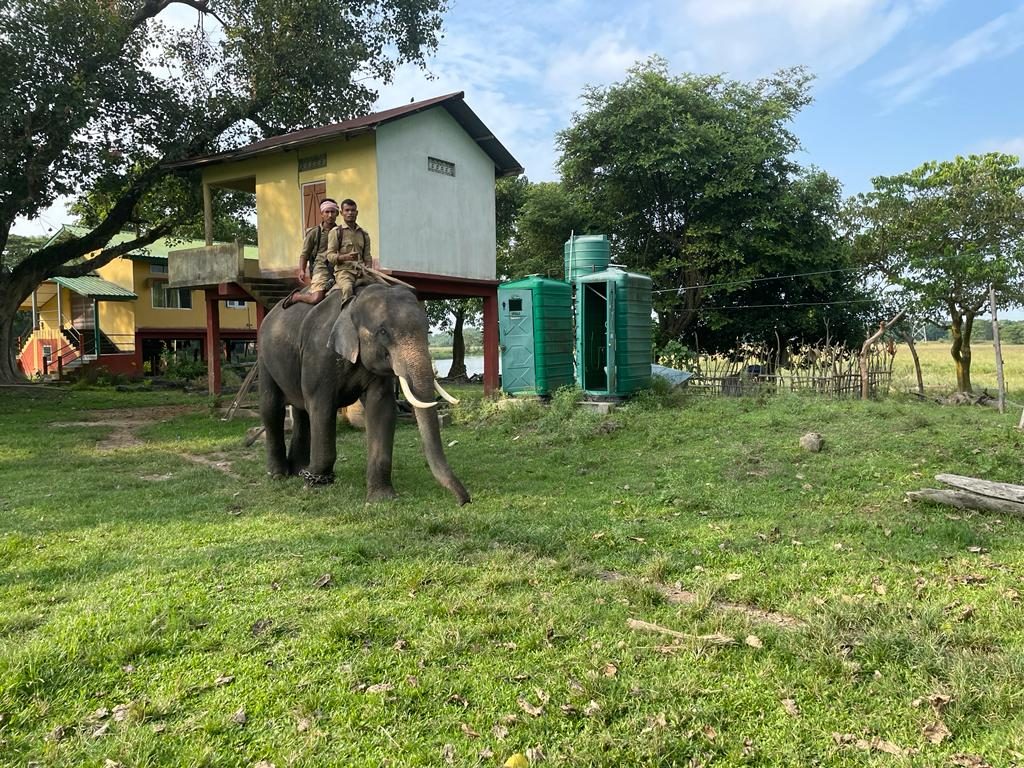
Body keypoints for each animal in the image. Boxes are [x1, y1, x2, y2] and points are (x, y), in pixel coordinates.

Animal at [257, 284, 470, 505]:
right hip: (264, 356)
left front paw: (382, 498)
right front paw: (314, 483)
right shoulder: (318, 354)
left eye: (427, 330)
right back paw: (279, 474)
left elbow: (381, 407)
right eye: (383, 332)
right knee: (272, 408)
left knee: (301, 412)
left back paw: (299, 470)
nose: (464, 501)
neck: (354, 302)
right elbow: (321, 407)